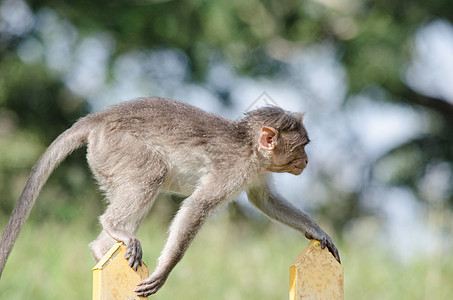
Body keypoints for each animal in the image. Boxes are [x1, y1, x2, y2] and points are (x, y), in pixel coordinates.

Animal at [0, 96, 340, 296]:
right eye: (301, 147)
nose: (306, 161)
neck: (249, 148)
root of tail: (98, 119)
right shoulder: (233, 169)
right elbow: (198, 206)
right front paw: (165, 271)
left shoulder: (255, 171)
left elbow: (264, 200)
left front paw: (317, 231)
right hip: (116, 147)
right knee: (152, 172)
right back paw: (115, 227)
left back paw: (101, 248)